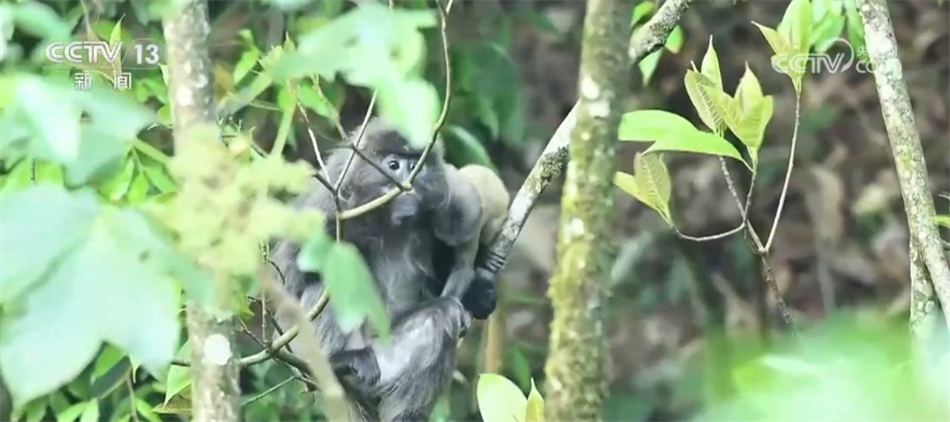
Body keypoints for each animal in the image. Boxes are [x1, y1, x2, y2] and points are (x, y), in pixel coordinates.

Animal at [270, 117, 498, 420]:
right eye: (393, 165)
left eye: (415, 164)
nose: (408, 180)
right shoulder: (328, 202)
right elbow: (286, 283)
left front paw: (479, 294)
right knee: (322, 285)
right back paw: (337, 364)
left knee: (442, 317)